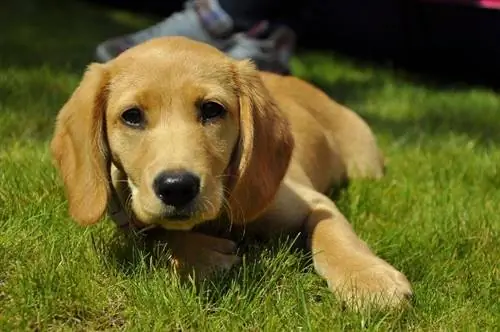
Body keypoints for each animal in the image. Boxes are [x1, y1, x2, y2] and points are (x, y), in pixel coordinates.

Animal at [50, 37, 412, 312]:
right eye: (132, 116)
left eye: (212, 109)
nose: (177, 187)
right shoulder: (129, 215)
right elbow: (155, 235)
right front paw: (198, 254)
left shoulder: (313, 201)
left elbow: (333, 233)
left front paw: (368, 279)